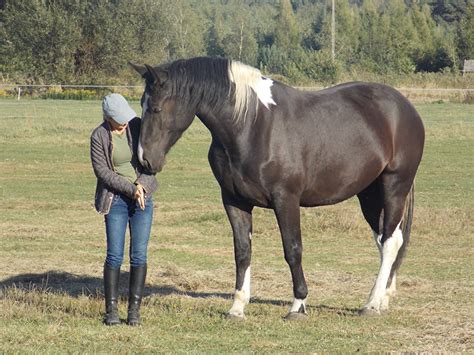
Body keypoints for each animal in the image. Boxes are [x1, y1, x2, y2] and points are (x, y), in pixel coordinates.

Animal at [131, 57, 426, 322]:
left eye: (156, 108)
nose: (144, 160)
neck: (251, 125)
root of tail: (403, 106)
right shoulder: (234, 201)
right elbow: (242, 251)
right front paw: (237, 308)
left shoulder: (286, 199)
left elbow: (292, 249)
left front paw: (298, 305)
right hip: (369, 193)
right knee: (386, 240)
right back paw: (383, 298)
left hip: (394, 186)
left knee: (390, 242)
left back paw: (371, 304)